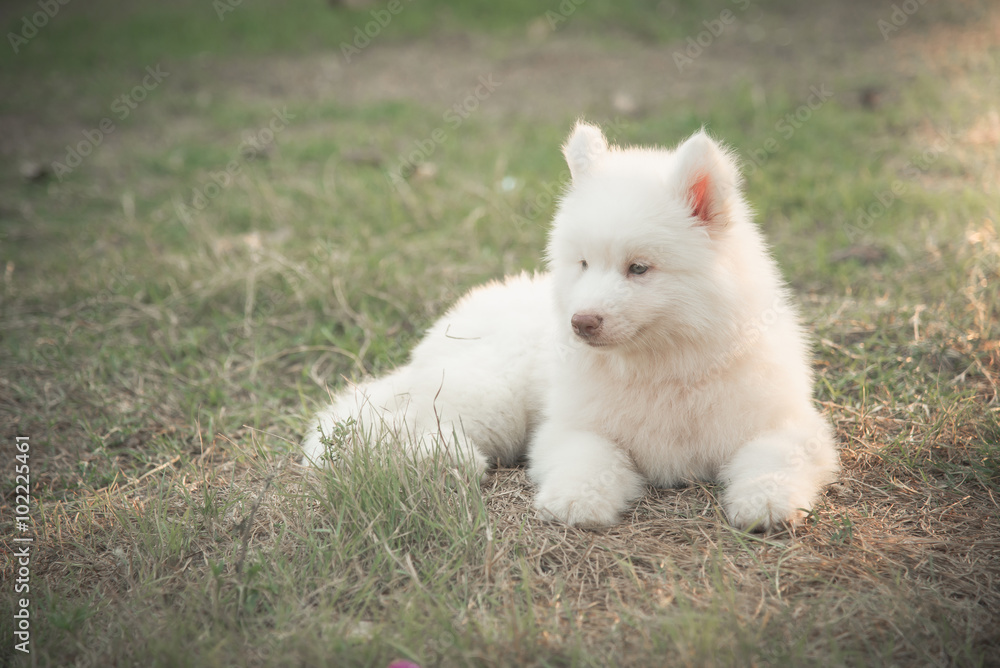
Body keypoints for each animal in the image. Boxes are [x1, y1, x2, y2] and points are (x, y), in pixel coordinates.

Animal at [302, 122, 836, 528]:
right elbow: (591, 457)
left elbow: (774, 458)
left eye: (638, 268)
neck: (663, 367)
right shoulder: (570, 427)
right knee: (393, 427)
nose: (582, 322)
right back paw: (447, 459)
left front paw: (766, 501)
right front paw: (577, 500)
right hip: (492, 397)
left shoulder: (787, 424)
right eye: (583, 263)